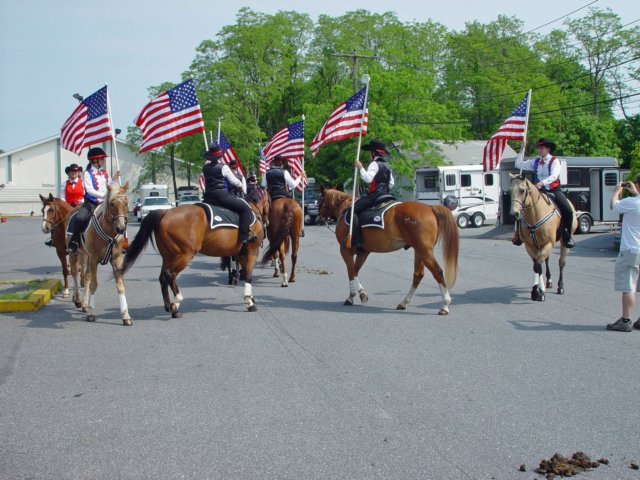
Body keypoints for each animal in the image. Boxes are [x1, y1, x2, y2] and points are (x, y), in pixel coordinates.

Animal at [69, 184, 132, 326]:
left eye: (126, 203)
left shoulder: (116, 260)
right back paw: (78, 300)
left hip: (85, 255)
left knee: (86, 276)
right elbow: (94, 284)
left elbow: (120, 286)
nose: (121, 228)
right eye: (112, 204)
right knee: (75, 273)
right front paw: (91, 314)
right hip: (75, 253)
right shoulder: (93, 259)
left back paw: (85, 304)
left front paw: (125, 316)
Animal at [122, 194, 264, 316]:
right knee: (170, 274)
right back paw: (176, 303)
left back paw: (169, 306)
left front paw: (250, 298)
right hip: (184, 255)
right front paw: (250, 303)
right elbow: (248, 275)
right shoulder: (252, 252)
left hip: (168, 256)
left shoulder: (242, 254)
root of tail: (165, 212)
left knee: (163, 277)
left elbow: (245, 273)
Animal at [316, 188, 458, 316]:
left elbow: (351, 272)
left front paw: (352, 296)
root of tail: (430, 207)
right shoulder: (363, 252)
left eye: (319, 200)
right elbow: (355, 271)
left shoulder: (345, 250)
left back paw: (445, 305)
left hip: (425, 251)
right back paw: (404, 302)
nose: (318, 218)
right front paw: (360, 294)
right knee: (418, 275)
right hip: (420, 251)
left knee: (437, 272)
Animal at [510, 172, 580, 300]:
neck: (535, 215)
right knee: (546, 260)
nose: (514, 214)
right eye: (510, 190)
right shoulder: (530, 246)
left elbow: (538, 265)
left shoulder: (549, 244)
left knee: (561, 262)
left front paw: (539, 292)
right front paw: (536, 290)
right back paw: (549, 281)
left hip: (563, 243)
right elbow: (537, 266)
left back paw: (560, 287)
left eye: (522, 190)